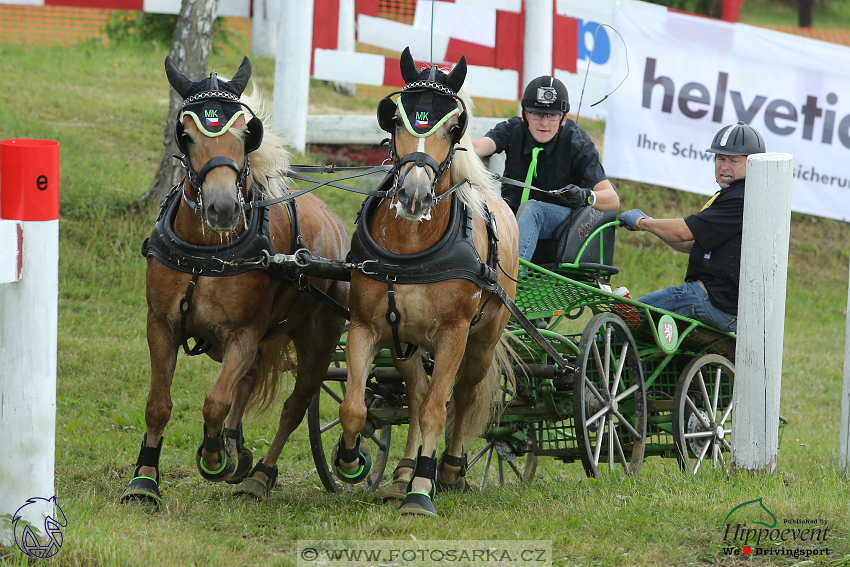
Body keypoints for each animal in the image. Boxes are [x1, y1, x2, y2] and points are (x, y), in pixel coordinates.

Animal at [119, 55, 348, 504]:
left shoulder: (243, 333)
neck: (205, 253)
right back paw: (237, 450)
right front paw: (144, 479)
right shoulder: (161, 326)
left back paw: (259, 475)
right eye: (186, 136)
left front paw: (213, 456)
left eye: (247, 132)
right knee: (251, 378)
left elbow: (216, 400)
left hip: (318, 342)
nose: (223, 208)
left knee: (294, 406)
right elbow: (159, 404)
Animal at [332, 50, 516, 520]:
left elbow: (438, 409)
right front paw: (352, 460)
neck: (413, 249)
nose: (414, 195)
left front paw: (421, 491)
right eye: (395, 119)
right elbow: (354, 405)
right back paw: (402, 472)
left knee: (463, 395)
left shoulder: (453, 334)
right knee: (414, 395)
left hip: (483, 339)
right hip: (406, 342)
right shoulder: (365, 326)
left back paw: (447, 469)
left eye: (454, 127)